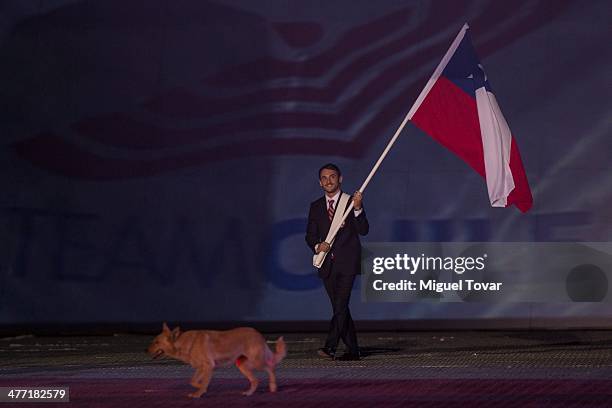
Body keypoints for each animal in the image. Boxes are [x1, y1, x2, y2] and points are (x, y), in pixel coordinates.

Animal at [148, 324, 286, 396]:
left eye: (156, 342)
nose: (145, 350)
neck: (183, 343)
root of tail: (258, 333)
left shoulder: (208, 366)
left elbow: (201, 382)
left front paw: (199, 392)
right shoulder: (201, 368)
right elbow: (192, 381)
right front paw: (201, 388)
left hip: (257, 362)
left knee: (271, 367)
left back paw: (273, 387)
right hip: (242, 365)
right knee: (255, 380)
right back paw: (249, 393)